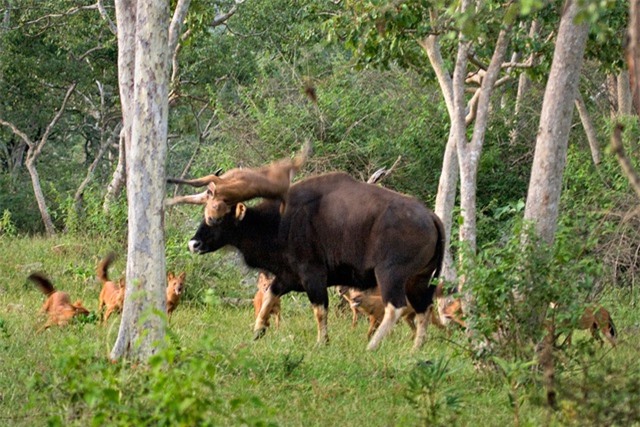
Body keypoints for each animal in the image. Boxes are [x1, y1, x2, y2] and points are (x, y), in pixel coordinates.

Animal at [168, 141, 312, 227]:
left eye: (222, 215)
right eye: (214, 207)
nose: (212, 221)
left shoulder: (216, 182)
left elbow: (196, 182)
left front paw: (169, 180)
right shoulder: (205, 195)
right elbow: (184, 197)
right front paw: (168, 202)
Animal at [188, 173, 442, 352]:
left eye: (217, 218)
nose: (193, 244)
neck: (280, 223)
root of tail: (431, 217)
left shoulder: (313, 275)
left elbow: (319, 310)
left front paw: (322, 342)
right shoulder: (288, 276)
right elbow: (270, 295)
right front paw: (258, 330)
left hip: (391, 275)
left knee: (395, 307)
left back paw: (372, 346)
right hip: (418, 279)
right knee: (424, 308)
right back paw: (416, 348)